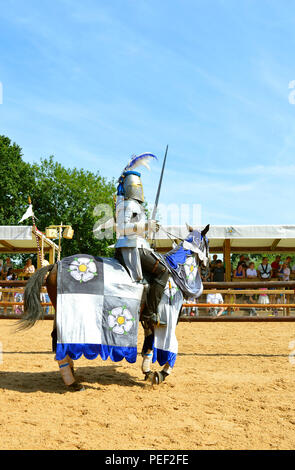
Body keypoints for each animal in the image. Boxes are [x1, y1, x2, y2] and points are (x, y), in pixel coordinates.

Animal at [17, 224, 210, 390]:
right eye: (207, 244)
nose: (207, 267)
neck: (176, 273)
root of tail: (55, 265)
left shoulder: (148, 320)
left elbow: (148, 345)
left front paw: (147, 371)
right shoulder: (168, 320)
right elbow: (171, 346)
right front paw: (161, 374)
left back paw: (71, 373)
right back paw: (72, 382)